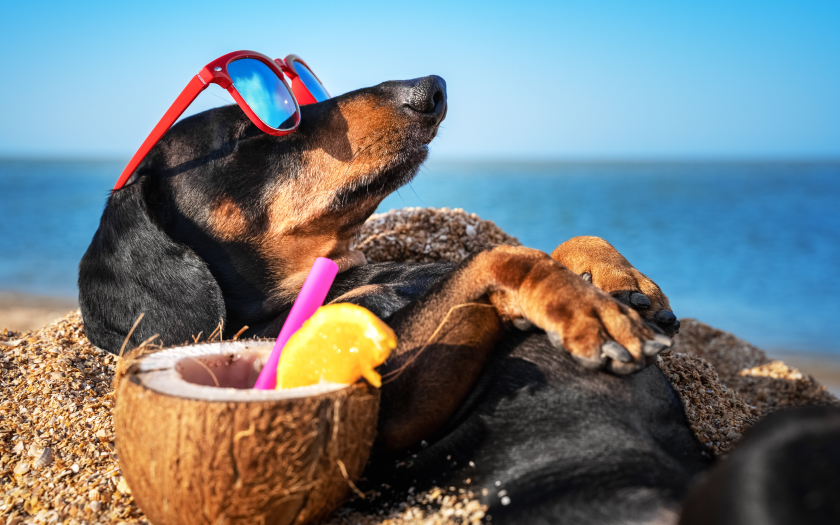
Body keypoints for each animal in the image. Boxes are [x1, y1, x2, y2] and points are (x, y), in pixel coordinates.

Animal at [80, 75, 708, 520]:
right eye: (253, 131)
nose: (431, 89)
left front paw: (618, 281)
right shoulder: (383, 424)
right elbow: (501, 257)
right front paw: (588, 310)